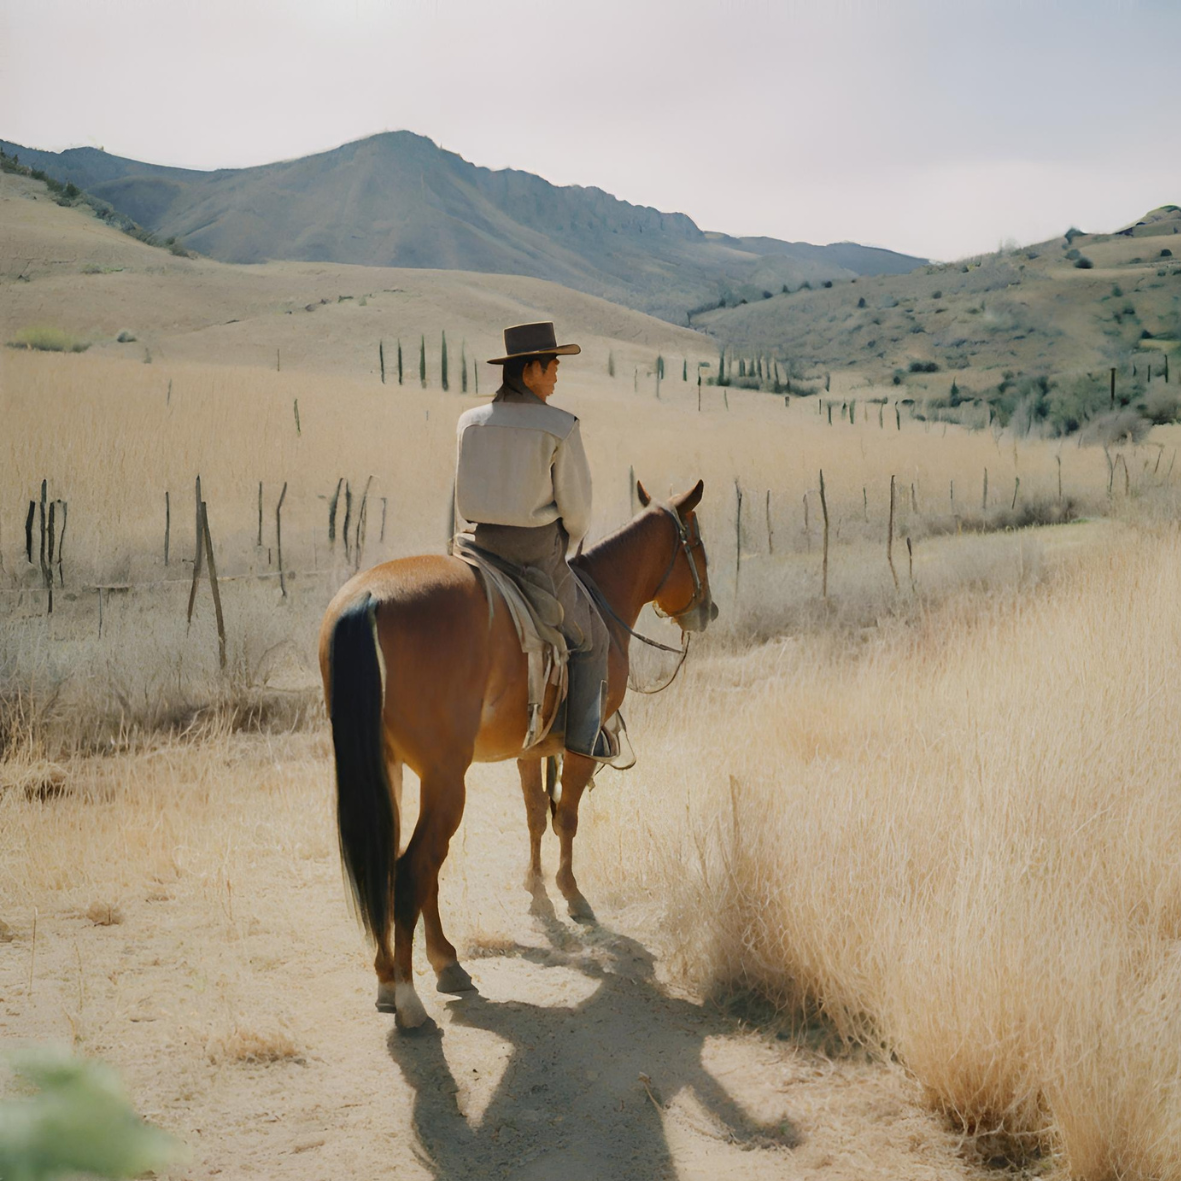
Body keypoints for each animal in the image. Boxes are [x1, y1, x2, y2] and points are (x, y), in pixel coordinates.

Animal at [318, 477, 713, 1025]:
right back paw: (411, 996)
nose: (708, 610)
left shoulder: (531, 748)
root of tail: (368, 600)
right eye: (695, 543)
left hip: (392, 772)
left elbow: (534, 813)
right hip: (446, 778)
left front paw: (536, 888)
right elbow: (566, 817)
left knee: (399, 861)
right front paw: (571, 894)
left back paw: (413, 972)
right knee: (415, 866)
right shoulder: (582, 745)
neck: (604, 595)